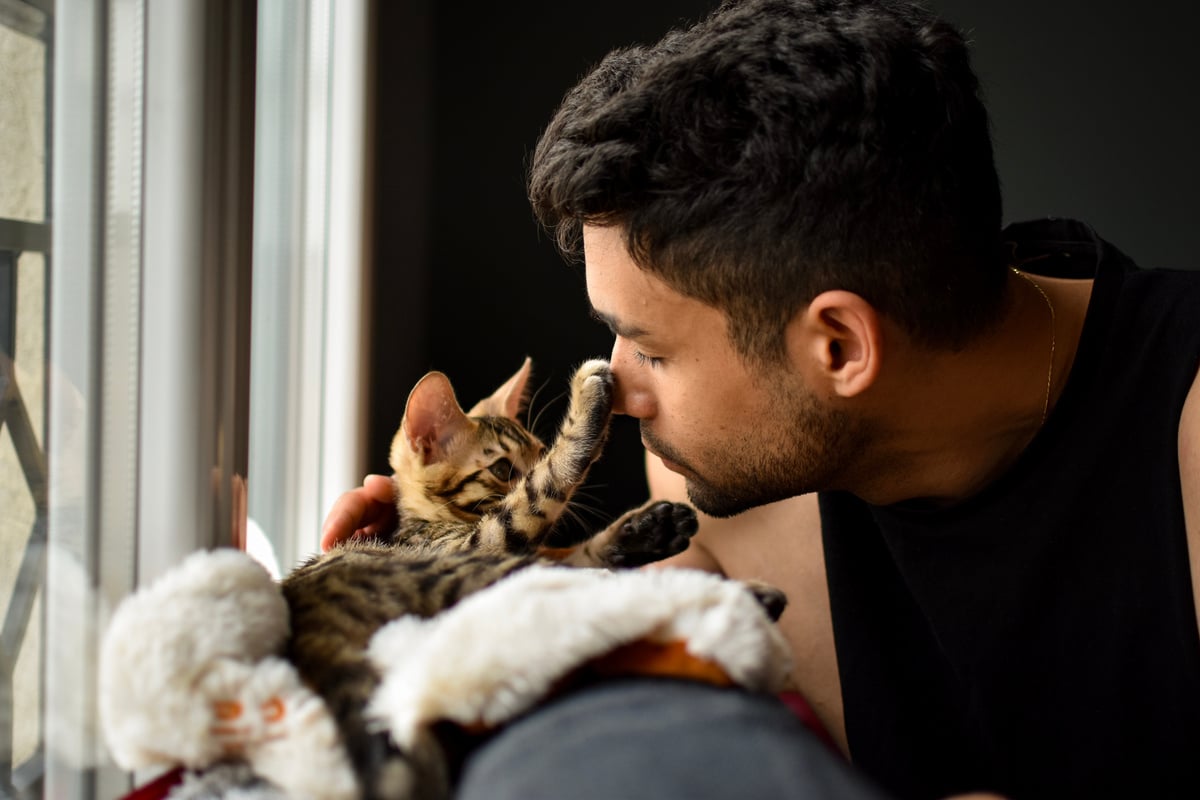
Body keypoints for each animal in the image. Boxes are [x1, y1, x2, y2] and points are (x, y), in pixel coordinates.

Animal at [277, 362, 700, 800]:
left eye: (537, 451)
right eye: (502, 469)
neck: (424, 519)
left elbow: (575, 545)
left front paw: (648, 529)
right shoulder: (485, 542)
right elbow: (540, 491)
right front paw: (588, 402)